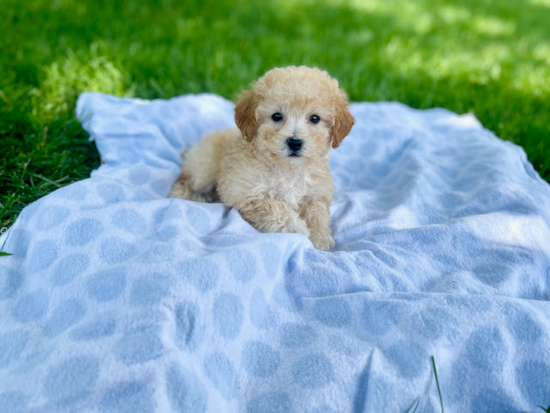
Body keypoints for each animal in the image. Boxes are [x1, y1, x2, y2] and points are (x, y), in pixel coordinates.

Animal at [170, 66, 356, 249]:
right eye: (276, 116)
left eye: (315, 118)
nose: (295, 142)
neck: (288, 168)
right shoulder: (246, 193)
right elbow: (274, 207)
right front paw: (296, 228)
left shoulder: (317, 193)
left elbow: (317, 213)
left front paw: (319, 238)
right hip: (204, 170)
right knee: (185, 180)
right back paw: (181, 196)